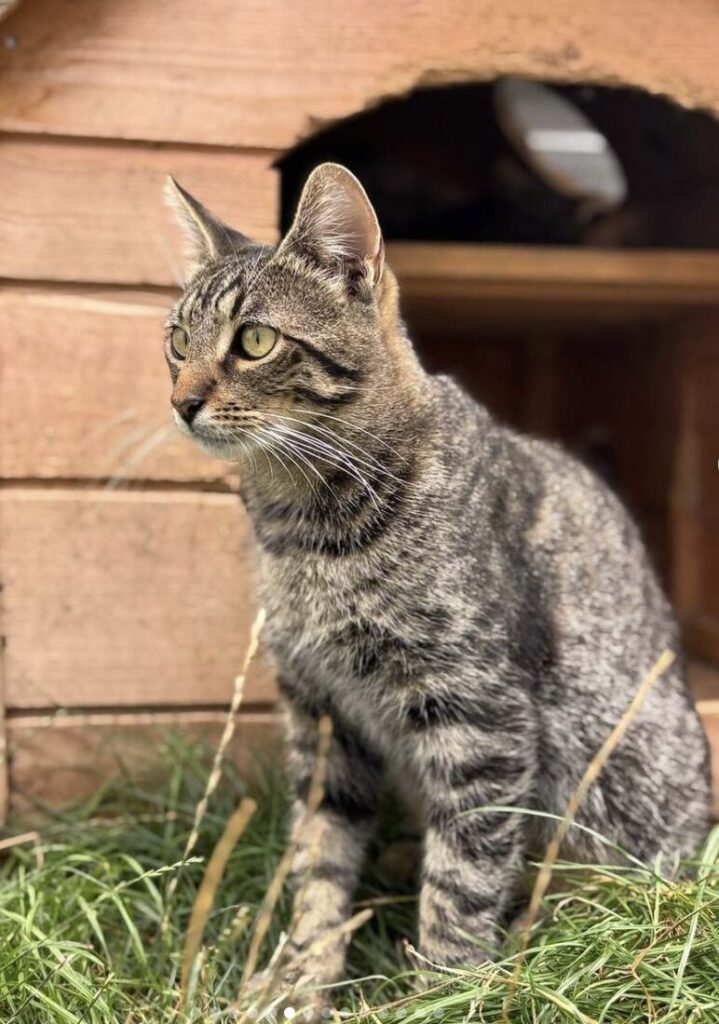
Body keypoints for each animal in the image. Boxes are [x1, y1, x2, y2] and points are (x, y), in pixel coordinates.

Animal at [164, 165, 716, 999]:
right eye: (177, 341)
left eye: (254, 341)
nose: (181, 402)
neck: (305, 528)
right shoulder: (320, 714)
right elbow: (319, 857)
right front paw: (302, 978)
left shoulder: (479, 717)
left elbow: (462, 878)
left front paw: (440, 994)